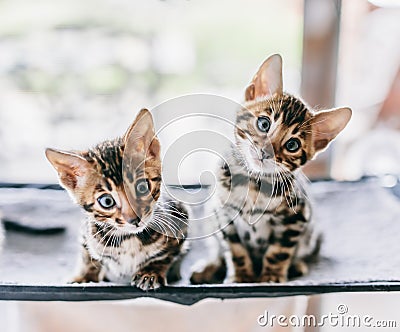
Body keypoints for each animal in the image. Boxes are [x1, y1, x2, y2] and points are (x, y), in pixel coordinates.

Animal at [45, 109, 189, 290]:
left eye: (142, 187)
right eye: (107, 201)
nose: (135, 219)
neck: (129, 238)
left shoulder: (181, 218)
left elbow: (166, 255)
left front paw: (150, 272)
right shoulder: (87, 232)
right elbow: (88, 256)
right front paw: (84, 277)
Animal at [192, 53, 352, 282]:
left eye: (292, 145)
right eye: (264, 124)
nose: (265, 152)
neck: (253, 183)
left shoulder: (296, 218)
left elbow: (279, 252)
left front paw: (271, 278)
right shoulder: (223, 214)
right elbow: (234, 249)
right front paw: (241, 276)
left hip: (313, 233)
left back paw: (297, 266)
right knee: (217, 249)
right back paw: (209, 266)